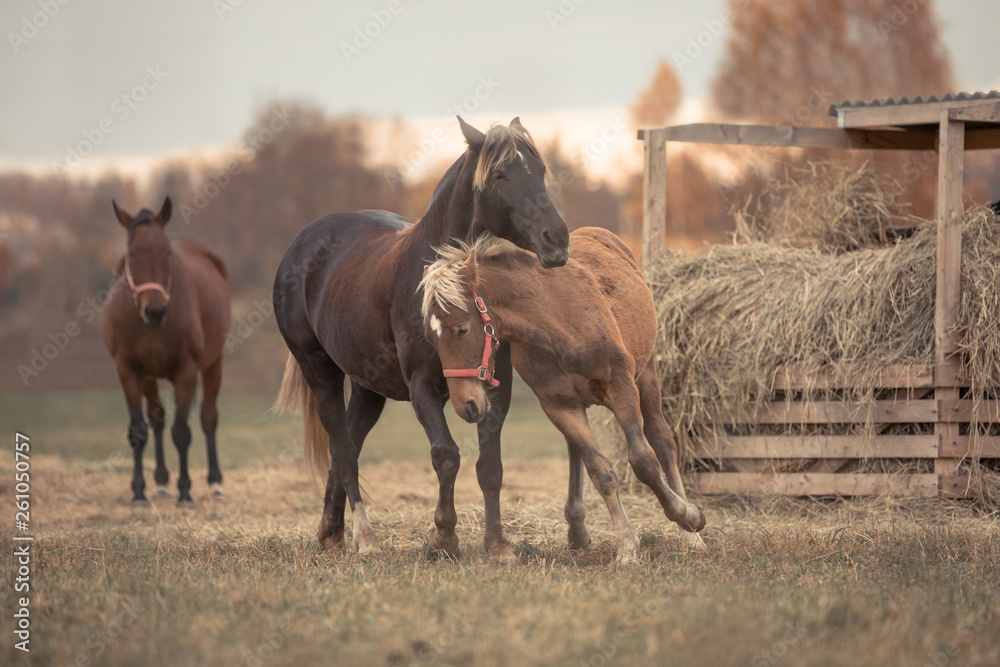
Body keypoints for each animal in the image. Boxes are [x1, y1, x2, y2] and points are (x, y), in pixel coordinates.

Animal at [102, 197, 231, 508]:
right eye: (132, 253)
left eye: (167, 252)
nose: (155, 311)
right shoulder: (128, 372)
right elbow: (138, 430)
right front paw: (139, 493)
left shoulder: (185, 372)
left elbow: (182, 432)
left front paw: (185, 492)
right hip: (149, 377)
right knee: (157, 419)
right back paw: (160, 483)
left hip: (214, 364)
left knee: (209, 417)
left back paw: (215, 483)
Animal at [273, 117, 570, 559]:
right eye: (500, 174)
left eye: (540, 170)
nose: (558, 240)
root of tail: (301, 244)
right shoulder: (422, 386)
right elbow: (446, 456)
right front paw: (443, 539)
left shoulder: (494, 387)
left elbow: (490, 465)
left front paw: (497, 544)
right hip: (319, 371)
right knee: (343, 452)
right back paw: (366, 539)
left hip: (368, 388)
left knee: (349, 446)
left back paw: (332, 533)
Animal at [419, 227, 706, 562]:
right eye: (430, 339)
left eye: (462, 329)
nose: (466, 404)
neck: (553, 320)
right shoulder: (560, 406)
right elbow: (600, 471)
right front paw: (626, 545)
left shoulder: (621, 385)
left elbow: (644, 461)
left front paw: (688, 516)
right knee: (577, 451)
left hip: (646, 375)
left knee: (662, 441)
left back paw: (691, 536)